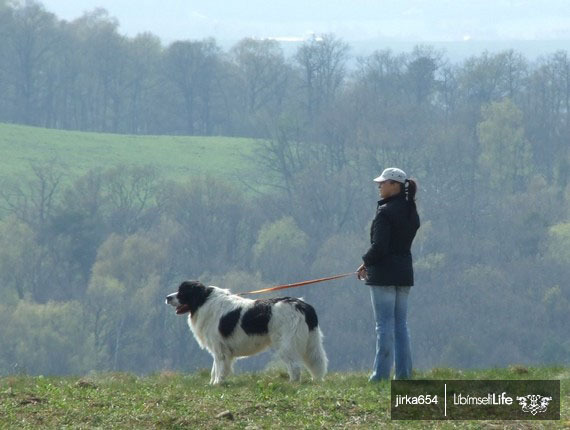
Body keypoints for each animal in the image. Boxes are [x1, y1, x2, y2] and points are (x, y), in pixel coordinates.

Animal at [164, 280, 326, 384]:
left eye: (182, 291)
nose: (167, 297)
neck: (203, 300)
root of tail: (303, 306)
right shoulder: (219, 349)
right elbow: (215, 368)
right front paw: (212, 384)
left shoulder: (219, 347)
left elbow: (219, 367)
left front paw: (217, 383)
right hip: (310, 343)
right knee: (316, 363)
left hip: (286, 344)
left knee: (295, 367)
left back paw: (292, 384)